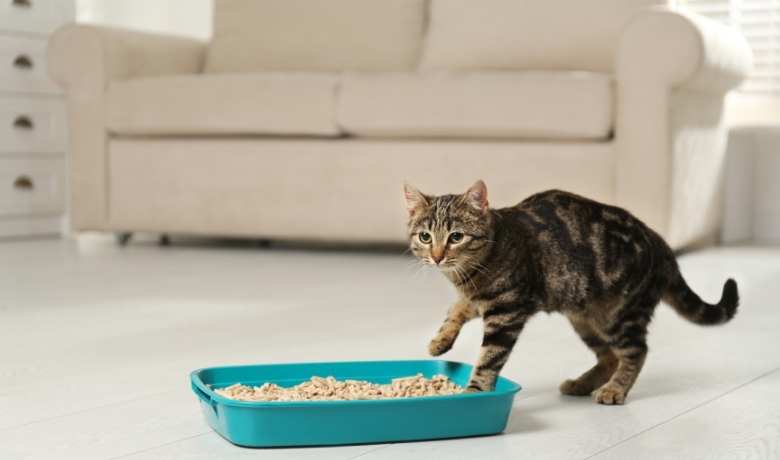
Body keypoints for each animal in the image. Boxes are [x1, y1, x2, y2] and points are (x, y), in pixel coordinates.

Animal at [406, 180, 740, 402]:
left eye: (456, 237)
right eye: (425, 237)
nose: (437, 256)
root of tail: (661, 243)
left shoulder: (507, 310)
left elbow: (489, 357)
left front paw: (475, 391)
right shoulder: (479, 300)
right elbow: (455, 310)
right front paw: (439, 341)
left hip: (621, 314)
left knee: (636, 351)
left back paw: (615, 389)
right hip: (584, 318)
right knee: (609, 357)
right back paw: (582, 384)